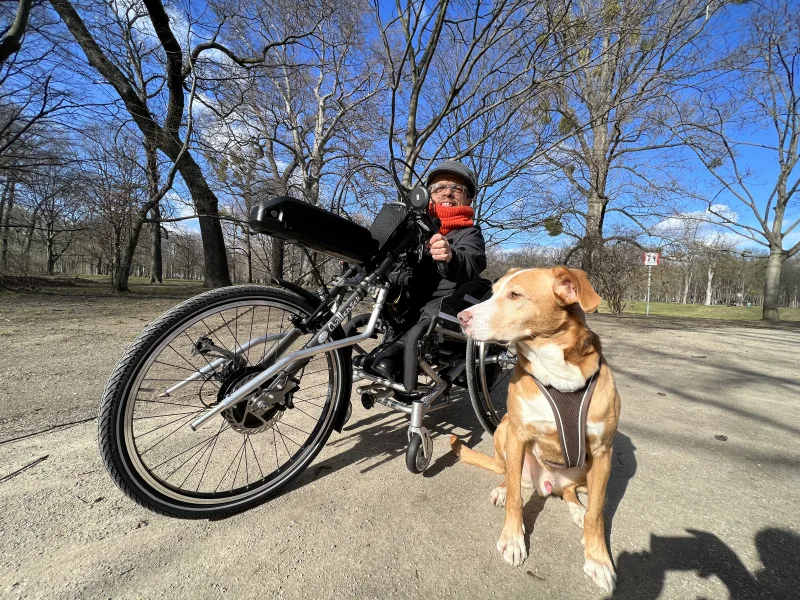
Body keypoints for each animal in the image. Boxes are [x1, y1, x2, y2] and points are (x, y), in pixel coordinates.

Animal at [456, 268, 620, 596]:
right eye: (493, 292)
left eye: (515, 295)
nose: (460, 317)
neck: (558, 375)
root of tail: (547, 484)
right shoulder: (517, 435)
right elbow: (516, 498)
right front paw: (513, 540)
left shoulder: (602, 451)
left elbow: (597, 512)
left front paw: (598, 560)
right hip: (503, 430)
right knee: (510, 475)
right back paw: (503, 489)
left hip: (582, 470)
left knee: (570, 491)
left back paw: (576, 508)